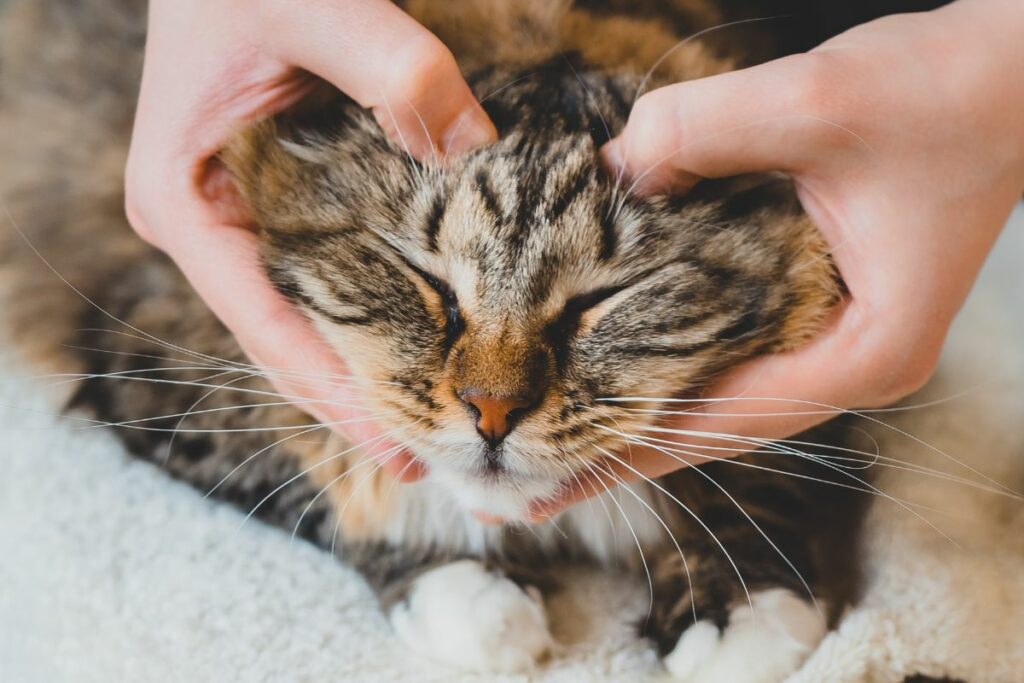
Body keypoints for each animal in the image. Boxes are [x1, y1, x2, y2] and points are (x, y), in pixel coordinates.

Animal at [2, 1, 872, 683]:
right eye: (428, 281)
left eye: (598, 301)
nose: (492, 411)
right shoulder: (159, 359)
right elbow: (333, 482)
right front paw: (478, 600)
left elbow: (757, 475)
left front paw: (742, 613)